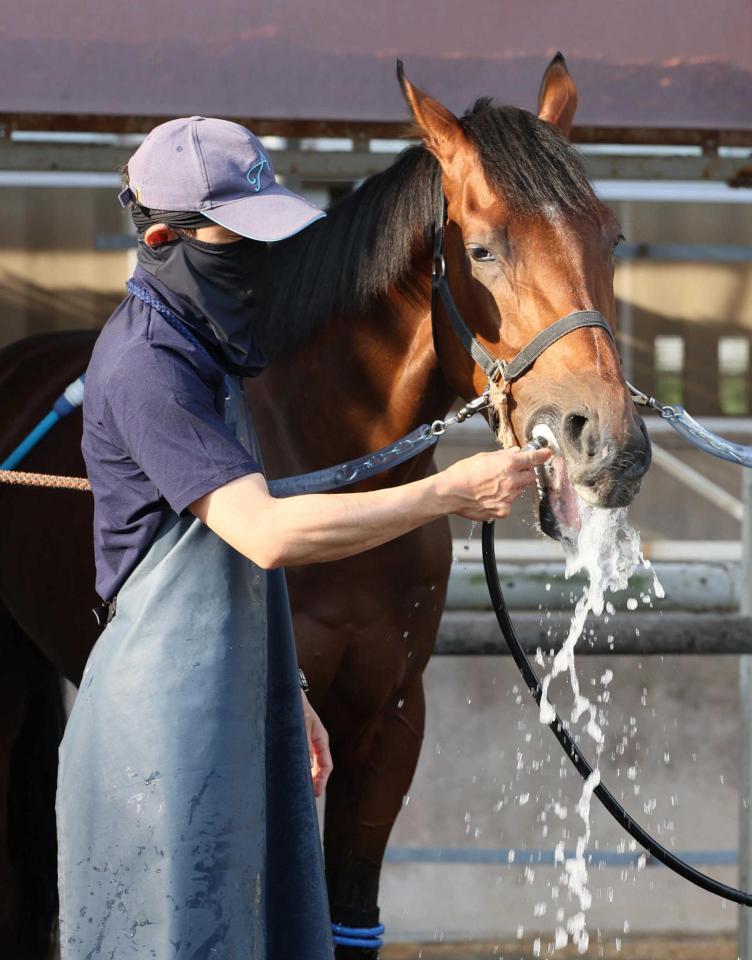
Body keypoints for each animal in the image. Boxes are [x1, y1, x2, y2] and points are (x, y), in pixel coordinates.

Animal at [0, 56, 648, 956]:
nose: (610, 445)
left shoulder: (390, 720)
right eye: (482, 249)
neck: (325, 453)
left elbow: (354, 920)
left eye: (610, 238)